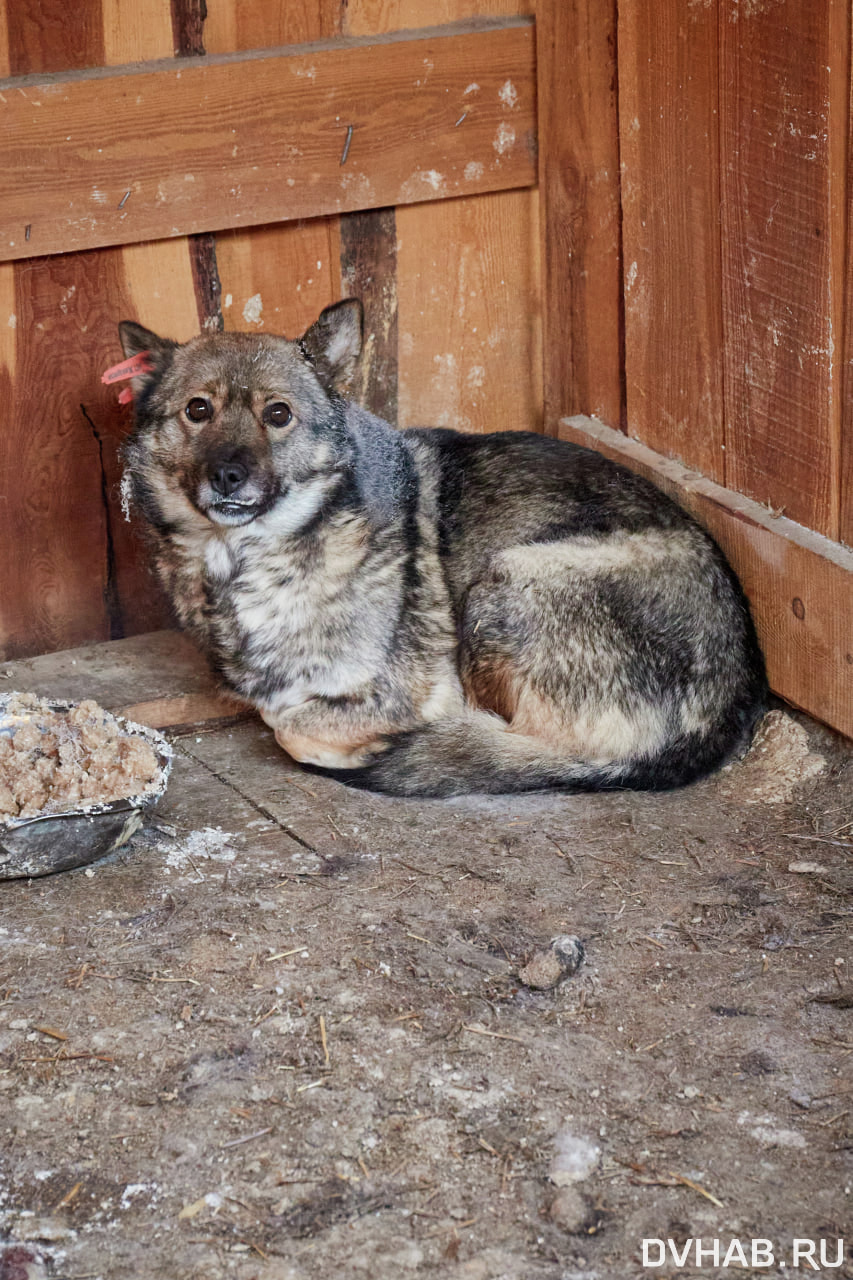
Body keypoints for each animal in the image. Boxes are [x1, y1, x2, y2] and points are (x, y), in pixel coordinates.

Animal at [117, 303, 763, 793]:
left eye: (278, 414)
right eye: (197, 410)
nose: (227, 476)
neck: (251, 561)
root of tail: (731, 697)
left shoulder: (418, 690)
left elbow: (291, 723)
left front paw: (362, 744)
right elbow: (282, 710)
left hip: (508, 580)